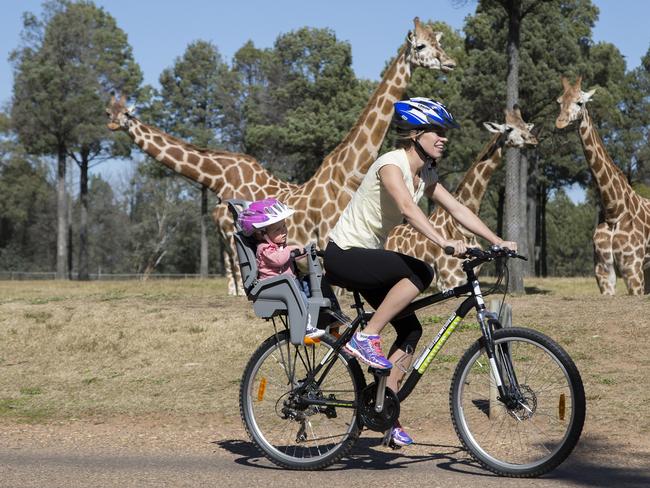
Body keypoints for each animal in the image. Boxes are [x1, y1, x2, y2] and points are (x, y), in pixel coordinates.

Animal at [552, 76, 648, 294]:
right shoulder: (604, 272)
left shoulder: (633, 269)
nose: (560, 122)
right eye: (559, 101)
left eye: (580, 102)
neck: (614, 210)